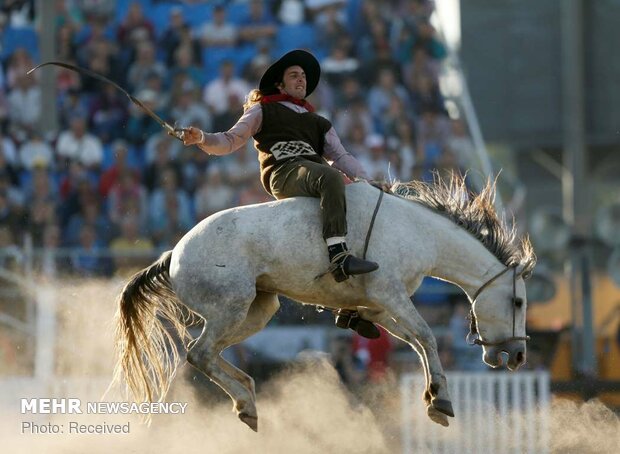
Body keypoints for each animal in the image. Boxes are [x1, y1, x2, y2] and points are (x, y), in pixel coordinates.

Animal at [112, 175, 536, 432]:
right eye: (517, 301)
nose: (517, 356)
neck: (419, 231)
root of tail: (174, 255)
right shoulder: (391, 294)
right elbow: (427, 337)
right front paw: (441, 401)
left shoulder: (379, 306)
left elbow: (416, 342)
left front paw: (434, 396)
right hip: (231, 308)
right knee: (199, 353)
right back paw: (246, 401)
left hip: (256, 311)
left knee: (209, 355)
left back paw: (247, 397)